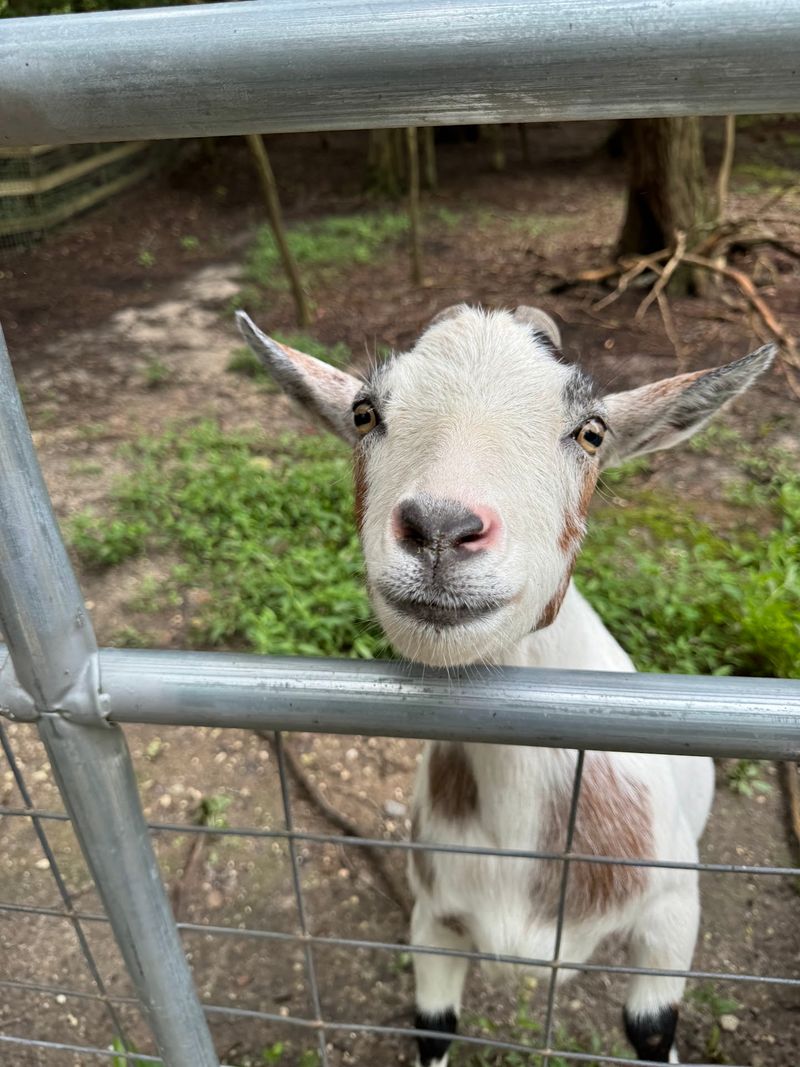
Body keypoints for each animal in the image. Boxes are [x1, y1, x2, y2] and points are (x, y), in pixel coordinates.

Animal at [236, 304, 773, 1065]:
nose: (440, 530)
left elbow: (651, 1028)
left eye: (591, 432)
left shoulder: (671, 918)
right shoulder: (434, 927)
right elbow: (432, 1025)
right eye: (366, 413)